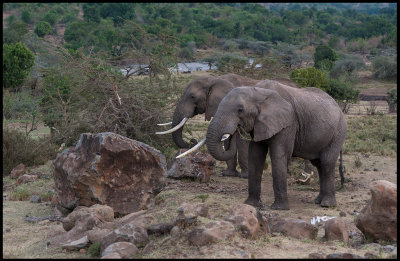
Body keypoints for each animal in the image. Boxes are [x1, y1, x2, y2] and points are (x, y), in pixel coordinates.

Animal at [205, 79, 346, 209]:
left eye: (240, 110)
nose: (234, 130)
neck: (258, 91)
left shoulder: (289, 123)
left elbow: (279, 155)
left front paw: (279, 208)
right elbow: (255, 156)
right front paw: (251, 205)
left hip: (338, 132)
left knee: (327, 162)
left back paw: (327, 204)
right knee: (319, 164)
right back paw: (318, 201)